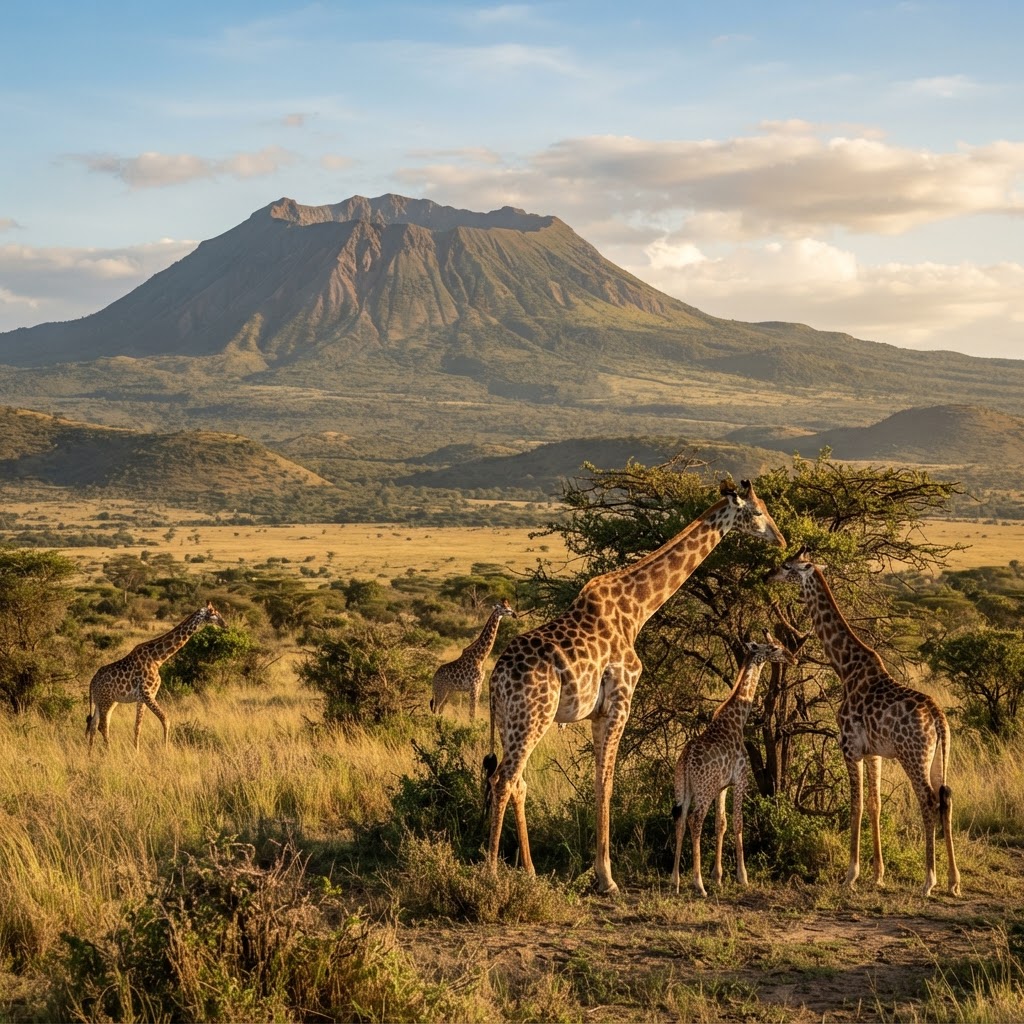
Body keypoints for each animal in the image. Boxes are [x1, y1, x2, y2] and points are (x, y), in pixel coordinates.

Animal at [85, 601, 226, 751]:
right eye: (214, 613)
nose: (225, 624)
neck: (158, 659)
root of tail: (92, 681)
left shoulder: (143, 697)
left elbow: (137, 727)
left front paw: (136, 751)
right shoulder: (147, 694)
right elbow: (166, 719)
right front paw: (165, 749)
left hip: (104, 701)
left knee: (94, 725)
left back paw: (90, 754)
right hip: (106, 700)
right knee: (102, 726)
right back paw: (108, 751)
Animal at [671, 635, 797, 897]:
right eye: (774, 647)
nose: (793, 658)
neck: (737, 720)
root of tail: (686, 761)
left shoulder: (723, 786)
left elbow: (721, 824)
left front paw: (718, 877)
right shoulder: (741, 779)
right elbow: (738, 823)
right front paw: (742, 876)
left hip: (683, 789)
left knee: (680, 820)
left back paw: (675, 880)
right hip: (704, 789)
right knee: (695, 821)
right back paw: (698, 884)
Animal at [772, 552, 960, 896]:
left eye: (788, 567)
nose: (768, 576)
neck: (845, 667)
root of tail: (938, 718)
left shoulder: (851, 747)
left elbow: (855, 806)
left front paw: (851, 875)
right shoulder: (874, 752)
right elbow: (875, 805)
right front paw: (878, 875)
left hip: (913, 756)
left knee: (928, 801)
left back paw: (929, 881)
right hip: (938, 757)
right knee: (946, 799)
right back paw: (954, 882)